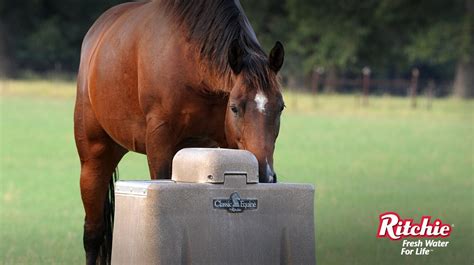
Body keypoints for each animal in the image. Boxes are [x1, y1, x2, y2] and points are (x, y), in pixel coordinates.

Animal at [74, 1, 286, 262]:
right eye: (235, 108)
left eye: (281, 107)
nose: (265, 175)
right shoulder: (160, 143)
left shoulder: (227, 145)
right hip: (94, 158)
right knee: (93, 234)